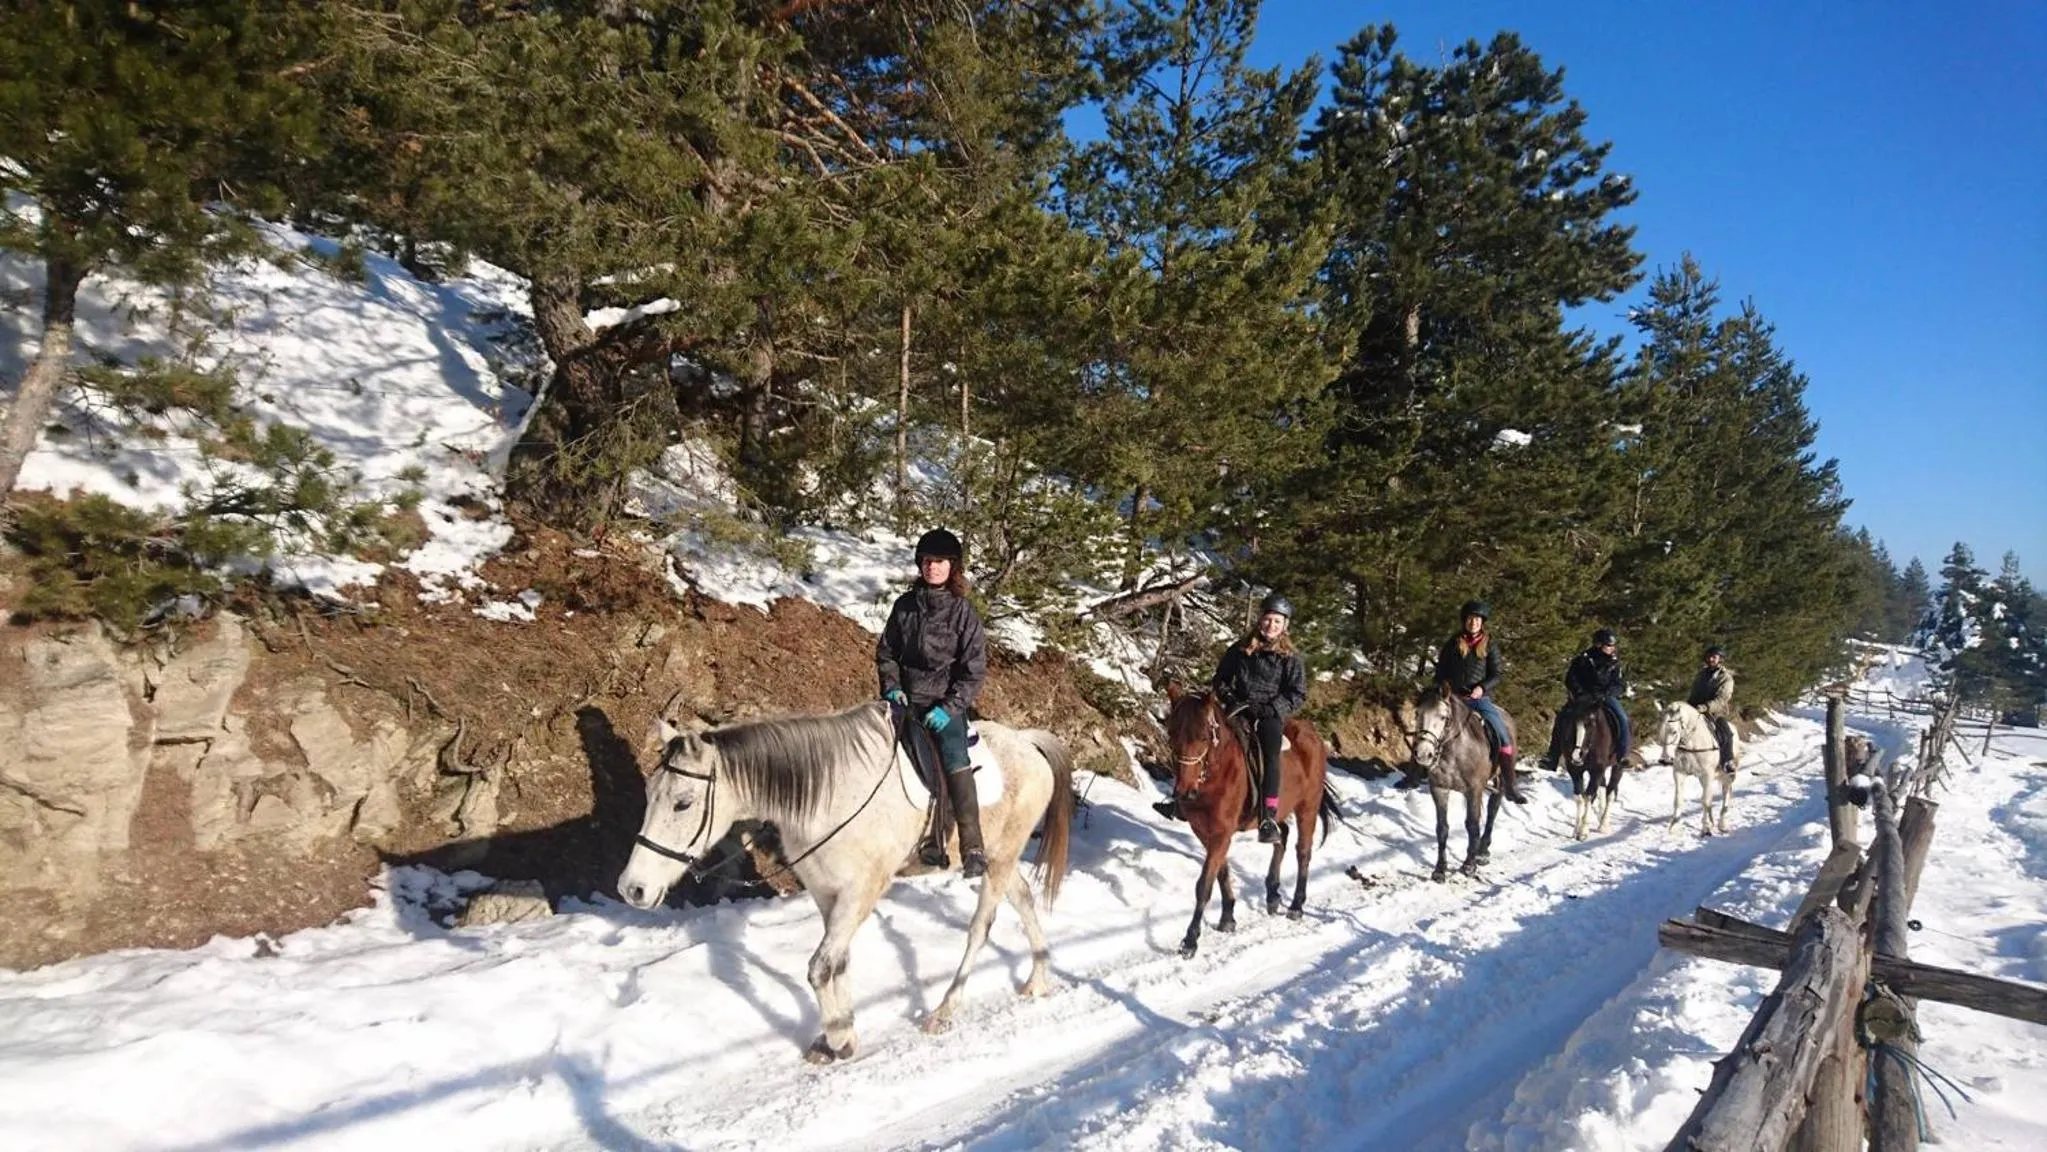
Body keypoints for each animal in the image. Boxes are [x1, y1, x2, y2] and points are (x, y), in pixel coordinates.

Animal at [615, 701, 1075, 1064]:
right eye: (651, 793)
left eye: (683, 803)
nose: (631, 888)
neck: (828, 794)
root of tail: (1026, 743)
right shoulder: (827, 893)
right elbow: (838, 961)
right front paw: (843, 1029)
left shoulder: (861, 891)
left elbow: (820, 966)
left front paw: (838, 1039)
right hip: (1003, 859)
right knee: (1024, 898)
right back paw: (1038, 979)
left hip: (997, 861)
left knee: (980, 927)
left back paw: (945, 1010)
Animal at [1162, 685, 1341, 959]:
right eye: (1172, 734)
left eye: (1203, 737)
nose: (1184, 792)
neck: (1216, 774)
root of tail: (1313, 734)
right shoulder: (1206, 832)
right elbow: (1222, 872)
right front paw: (1227, 918)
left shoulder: (1221, 833)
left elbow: (1204, 885)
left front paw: (1190, 940)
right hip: (1278, 812)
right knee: (1281, 836)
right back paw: (1273, 894)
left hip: (1307, 807)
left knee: (1303, 852)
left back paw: (1296, 905)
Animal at [1411, 687, 1517, 881]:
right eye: (1417, 713)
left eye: (1443, 717)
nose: (1423, 754)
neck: (1454, 751)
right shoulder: (1439, 789)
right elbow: (1442, 829)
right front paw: (1440, 870)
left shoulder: (1474, 791)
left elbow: (1472, 825)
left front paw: (1469, 865)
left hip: (1499, 782)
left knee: (1493, 810)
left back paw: (1482, 852)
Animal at [1561, 702, 1624, 841]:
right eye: (1573, 723)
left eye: (1591, 724)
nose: (1577, 755)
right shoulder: (1575, 770)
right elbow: (1579, 797)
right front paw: (1576, 830)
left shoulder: (1597, 770)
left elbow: (1589, 796)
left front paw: (1583, 831)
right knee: (1602, 789)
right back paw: (1600, 821)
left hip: (1618, 767)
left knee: (1610, 792)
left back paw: (1604, 824)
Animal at [1659, 700, 1740, 835]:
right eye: (1660, 730)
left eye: (1674, 731)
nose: (1665, 760)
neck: (1693, 743)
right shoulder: (1679, 773)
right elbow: (1678, 800)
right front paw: (1674, 826)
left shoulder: (1707, 774)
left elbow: (1705, 801)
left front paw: (1706, 827)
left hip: (1728, 773)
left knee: (1726, 793)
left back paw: (1722, 824)